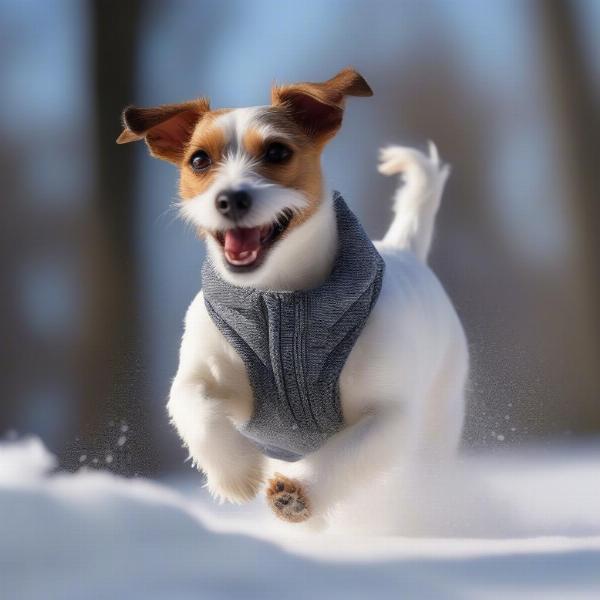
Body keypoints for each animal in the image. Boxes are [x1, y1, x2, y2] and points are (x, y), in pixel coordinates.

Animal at [117, 68, 468, 528]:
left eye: (277, 151)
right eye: (198, 160)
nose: (231, 198)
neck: (281, 296)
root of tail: (403, 246)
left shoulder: (389, 415)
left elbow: (347, 453)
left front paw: (296, 492)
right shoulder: (200, 375)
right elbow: (195, 407)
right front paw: (237, 473)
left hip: (437, 420)